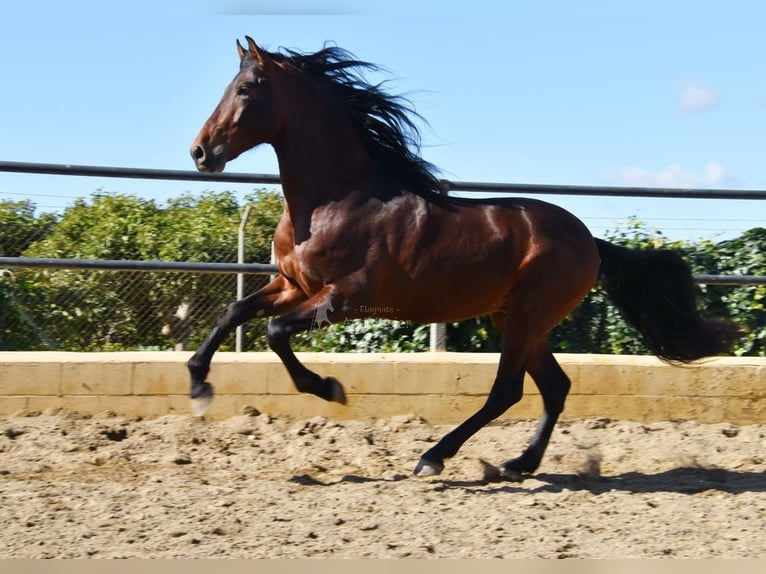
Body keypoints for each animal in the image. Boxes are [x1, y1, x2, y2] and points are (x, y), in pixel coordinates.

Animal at [189, 33, 740, 480]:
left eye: (245, 89)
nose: (200, 152)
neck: (334, 200)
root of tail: (590, 241)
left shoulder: (345, 298)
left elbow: (274, 332)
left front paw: (328, 387)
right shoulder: (291, 285)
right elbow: (234, 312)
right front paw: (198, 385)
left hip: (527, 315)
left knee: (508, 391)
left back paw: (435, 457)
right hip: (515, 318)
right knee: (555, 387)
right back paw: (518, 464)